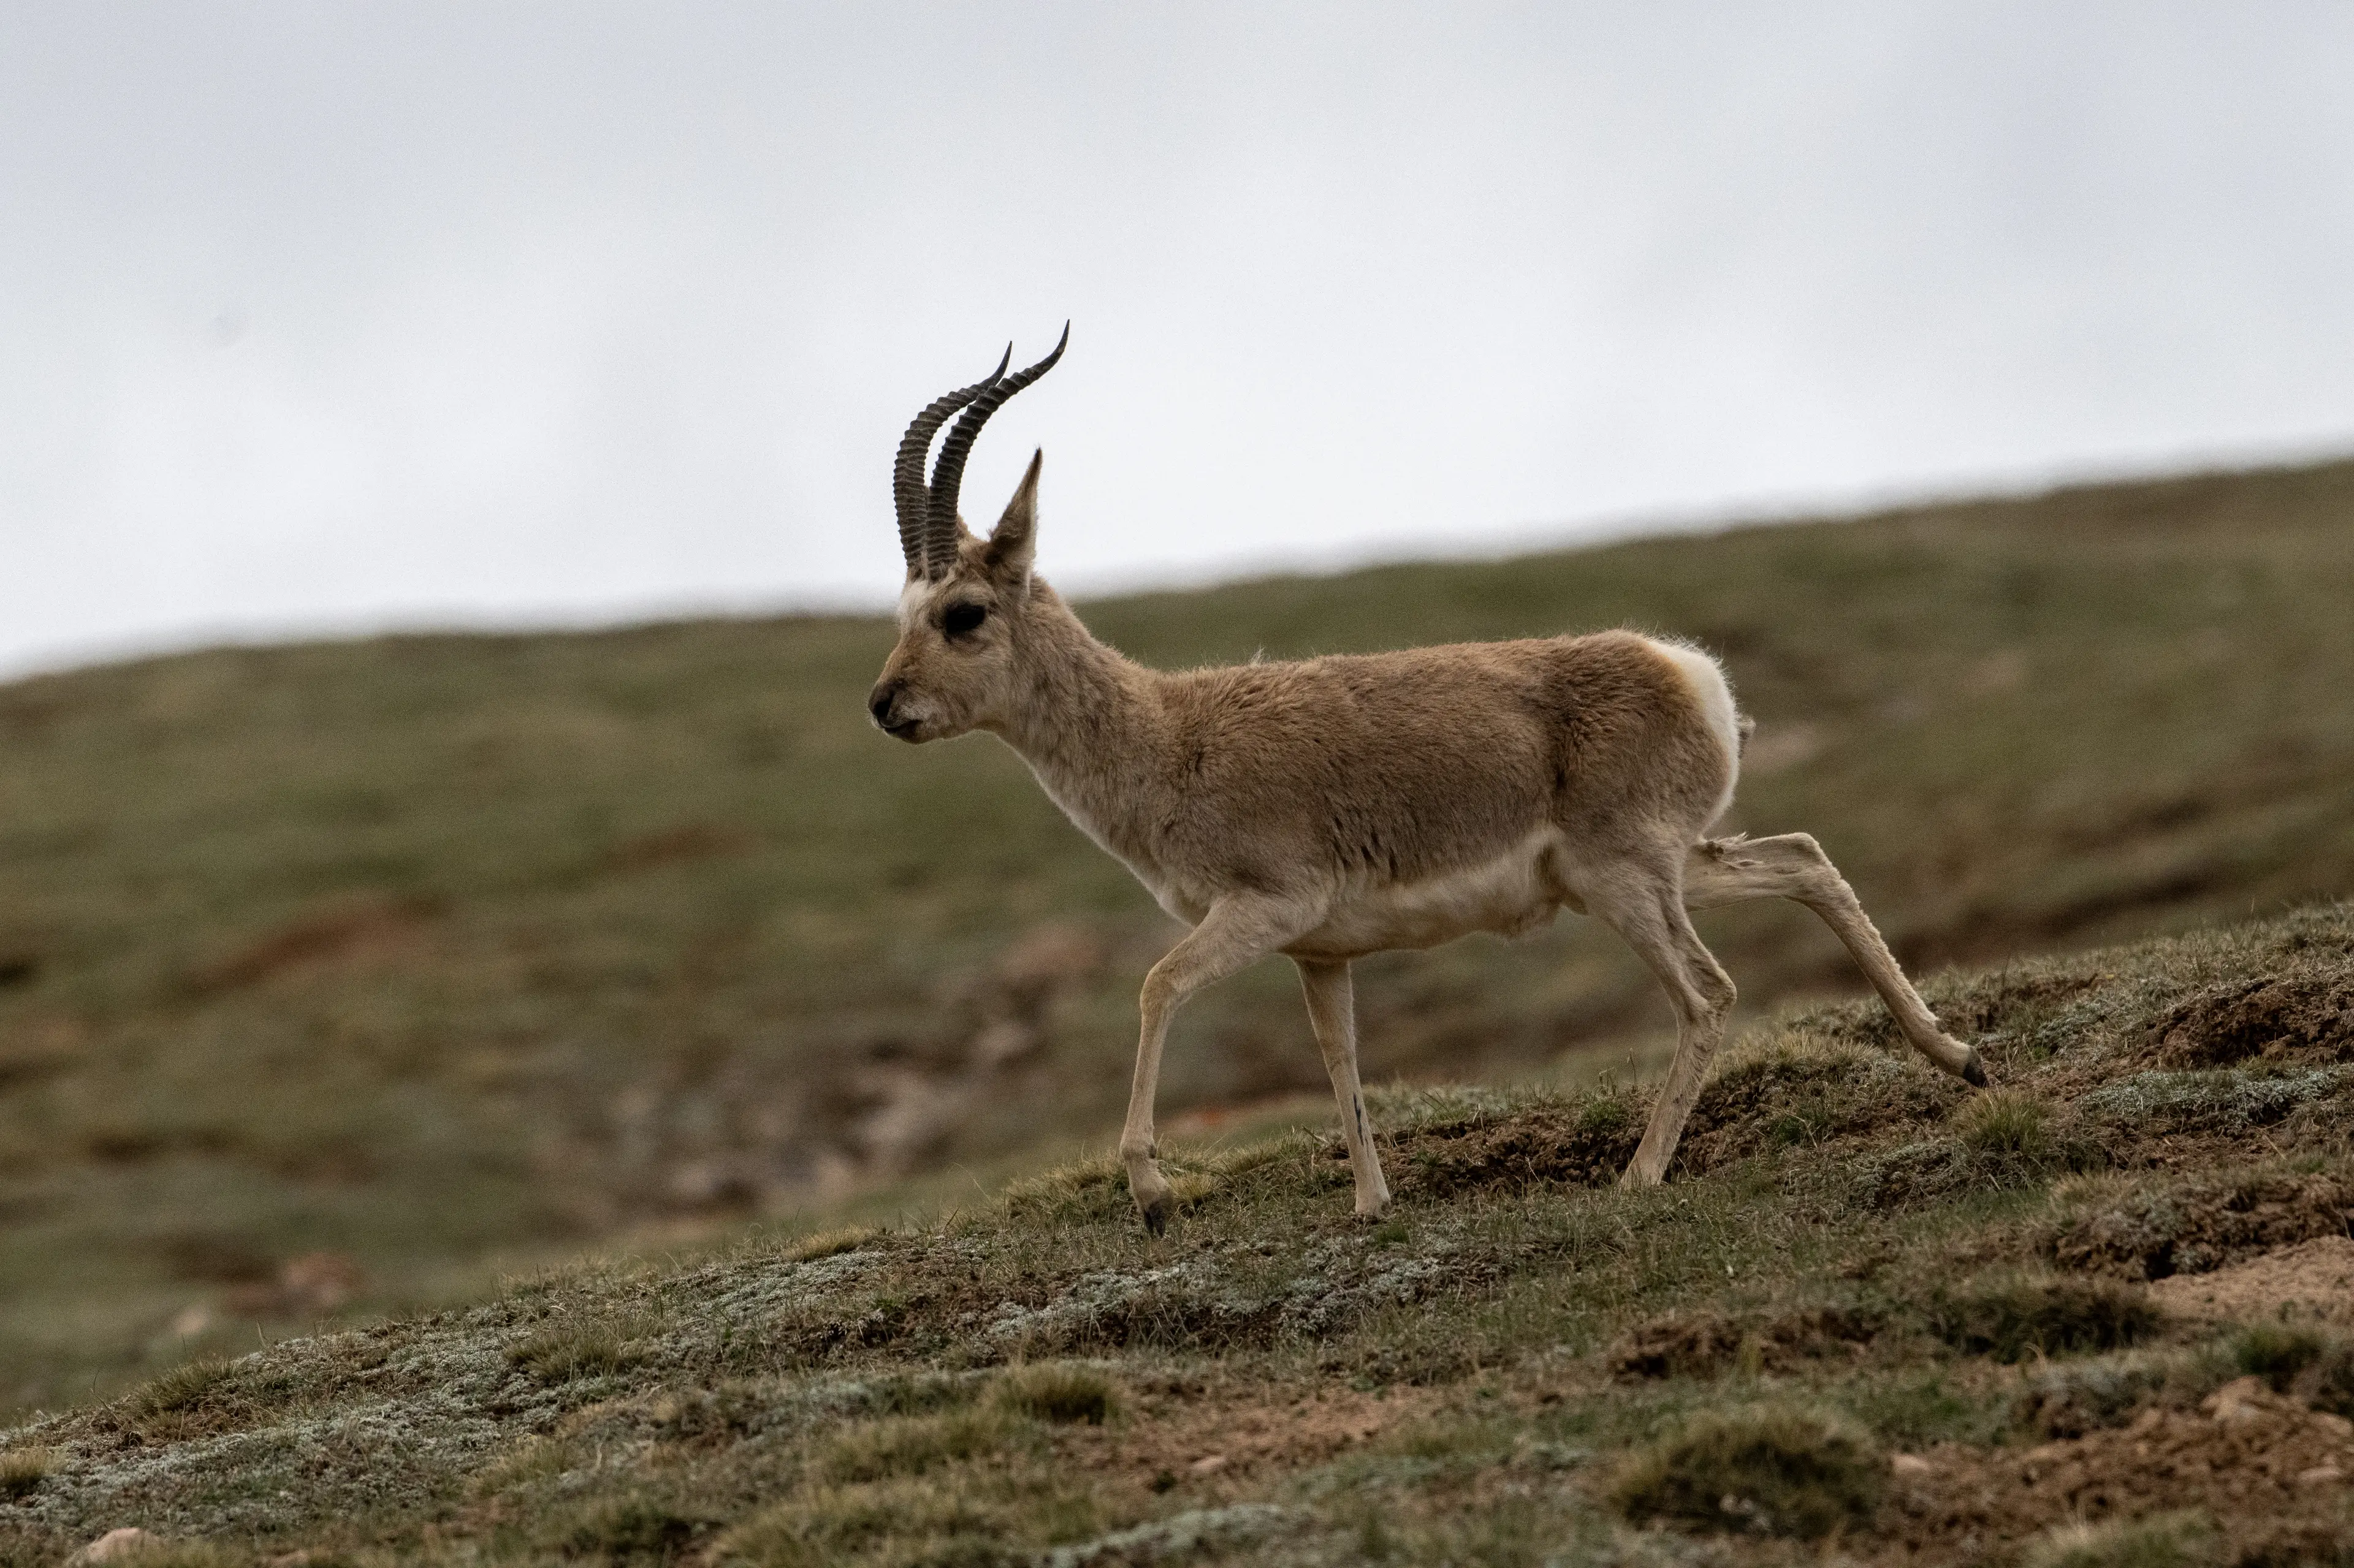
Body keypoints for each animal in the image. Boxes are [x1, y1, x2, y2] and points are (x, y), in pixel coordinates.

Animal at [869, 330, 1989, 1232]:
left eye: (963, 612)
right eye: (904, 610)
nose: (884, 705)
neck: (1169, 733)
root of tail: (1689, 672)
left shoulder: (1265, 908)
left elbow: (1157, 985)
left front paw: (1151, 1192)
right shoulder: (1320, 950)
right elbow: (1341, 1059)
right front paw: (1372, 1203)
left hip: (1626, 880)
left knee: (1709, 993)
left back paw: (1639, 1175)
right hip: (1656, 869)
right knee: (1803, 858)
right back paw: (1959, 1056)